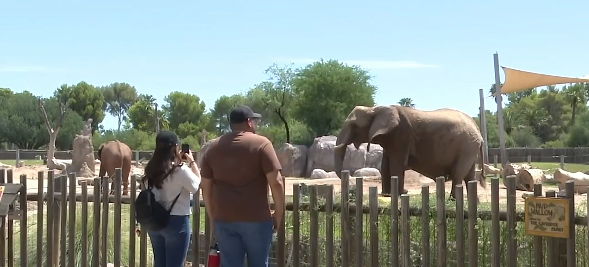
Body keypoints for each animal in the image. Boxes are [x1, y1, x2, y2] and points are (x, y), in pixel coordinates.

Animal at [334, 105, 484, 198]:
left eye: (354, 126)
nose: (352, 183)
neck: (375, 109)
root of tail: (478, 130)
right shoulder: (390, 138)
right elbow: (385, 165)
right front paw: (387, 195)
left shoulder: (401, 134)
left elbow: (397, 164)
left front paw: (400, 194)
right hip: (470, 148)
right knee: (469, 176)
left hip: (467, 147)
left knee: (458, 174)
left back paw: (452, 201)